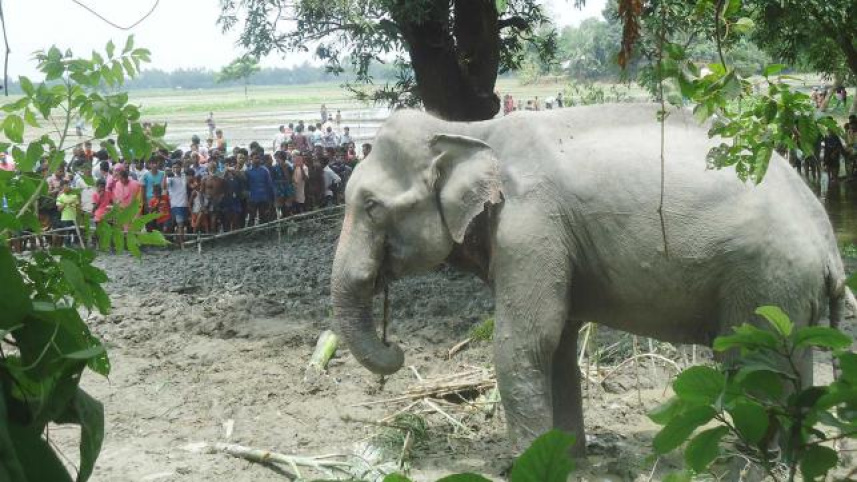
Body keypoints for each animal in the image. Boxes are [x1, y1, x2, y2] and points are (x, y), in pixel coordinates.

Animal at [330, 103, 851, 456]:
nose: (396, 348)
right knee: (794, 367)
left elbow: (526, 342)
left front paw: (525, 464)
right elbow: (557, 342)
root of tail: (830, 245)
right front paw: (565, 458)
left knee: (752, 367)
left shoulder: (531, 225)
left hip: (765, 283)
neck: (468, 130)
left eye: (372, 206)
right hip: (789, 295)